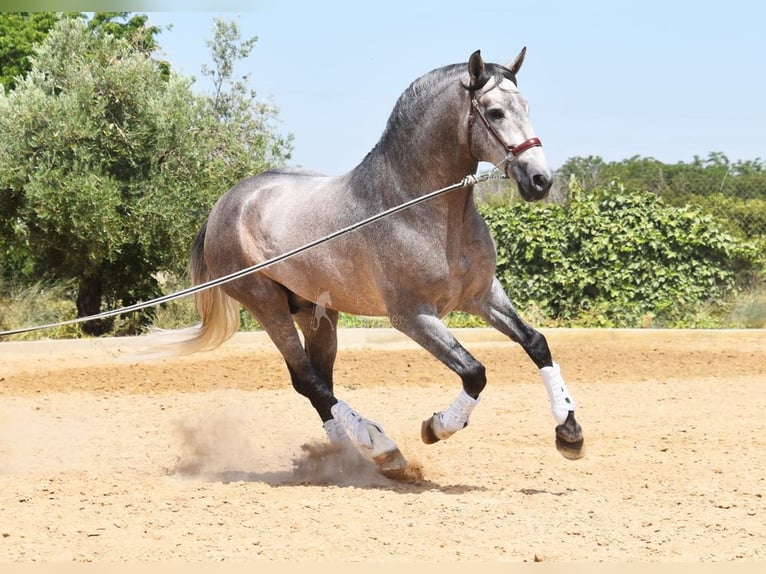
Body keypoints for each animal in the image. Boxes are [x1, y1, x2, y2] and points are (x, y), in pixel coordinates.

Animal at [171, 48, 584, 482]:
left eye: (527, 106)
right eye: (495, 111)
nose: (540, 180)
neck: (416, 208)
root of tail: (226, 204)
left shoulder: (483, 296)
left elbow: (536, 343)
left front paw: (569, 432)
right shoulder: (412, 316)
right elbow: (474, 371)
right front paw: (435, 427)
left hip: (315, 312)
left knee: (318, 380)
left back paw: (347, 456)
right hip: (266, 305)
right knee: (308, 379)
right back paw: (380, 446)